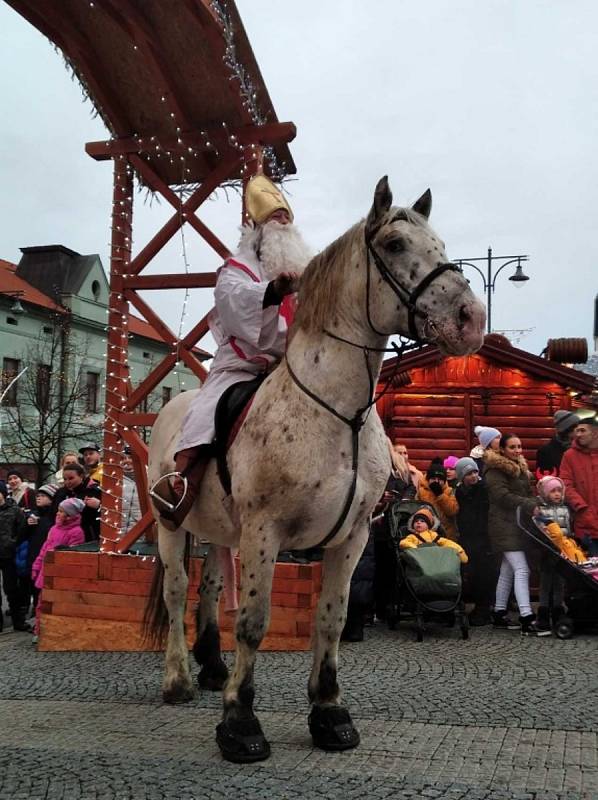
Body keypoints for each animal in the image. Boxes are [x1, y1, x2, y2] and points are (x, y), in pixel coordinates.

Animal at [145, 178, 488, 764]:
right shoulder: (264, 532)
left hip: (219, 532)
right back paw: (177, 681)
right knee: (176, 590)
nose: (471, 319)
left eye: (440, 243)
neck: (338, 412)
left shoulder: (351, 537)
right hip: (171, 523)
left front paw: (329, 712)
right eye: (395, 244)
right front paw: (239, 722)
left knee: (209, 587)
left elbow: (331, 618)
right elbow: (254, 622)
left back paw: (211, 667)